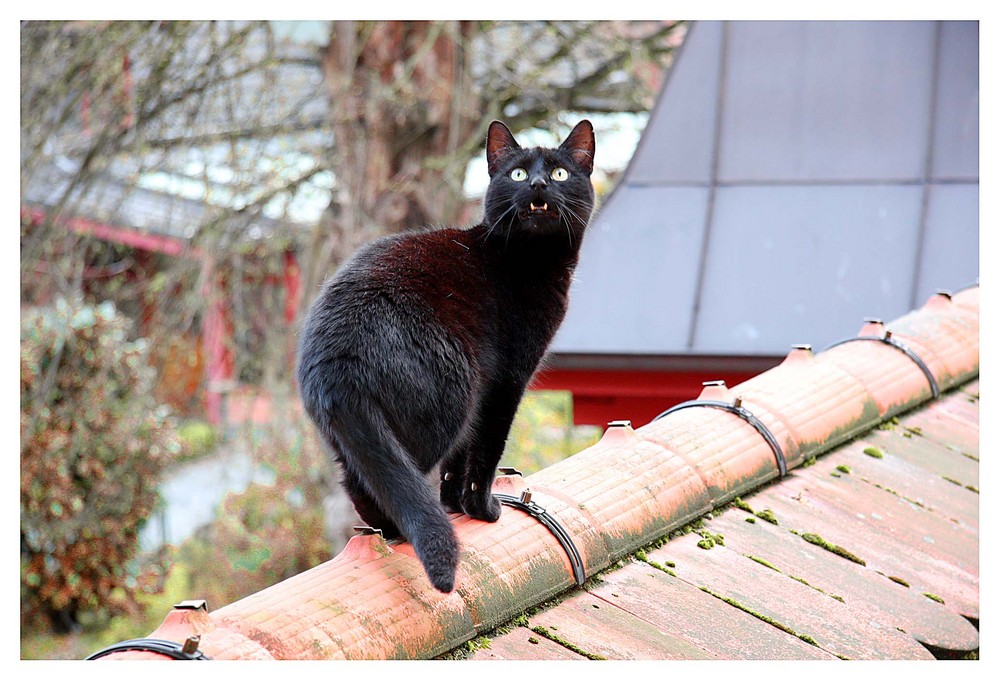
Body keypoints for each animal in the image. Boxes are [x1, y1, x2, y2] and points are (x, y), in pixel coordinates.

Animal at [294, 119, 592, 592]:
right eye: (518, 174)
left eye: (560, 173)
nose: (539, 184)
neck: (524, 259)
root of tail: (338, 357)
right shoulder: (506, 381)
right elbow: (487, 449)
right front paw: (482, 510)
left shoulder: (486, 390)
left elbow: (458, 462)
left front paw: (455, 505)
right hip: (447, 401)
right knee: (401, 479)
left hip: (359, 433)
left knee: (360, 483)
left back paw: (390, 531)